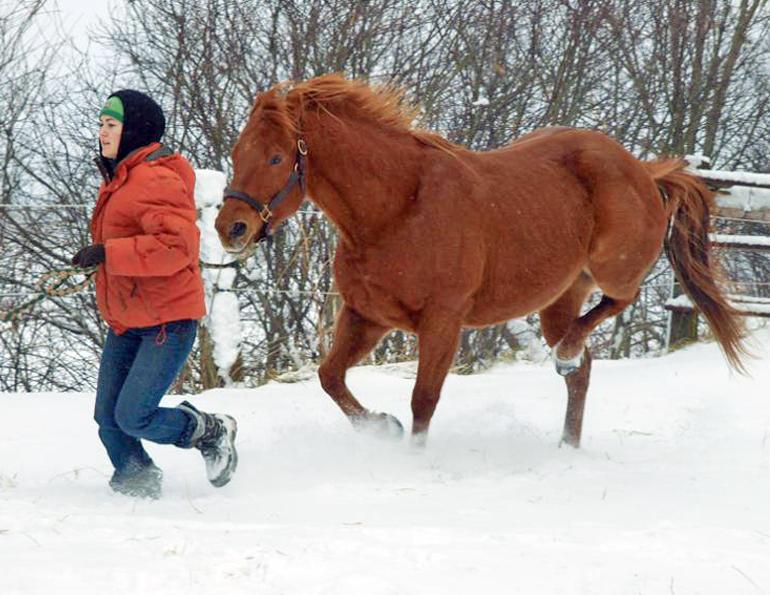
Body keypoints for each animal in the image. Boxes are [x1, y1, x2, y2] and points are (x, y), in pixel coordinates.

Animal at [215, 74, 746, 448]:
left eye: (277, 158)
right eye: (238, 152)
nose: (230, 227)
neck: (397, 210)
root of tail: (643, 170)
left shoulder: (442, 321)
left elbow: (423, 400)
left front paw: (409, 456)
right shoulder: (367, 315)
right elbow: (330, 378)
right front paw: (382, 427)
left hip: (612, 268)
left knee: (619, 302)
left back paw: (565, 357)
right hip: (560, 298)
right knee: (583, 371)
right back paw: (566, 444)